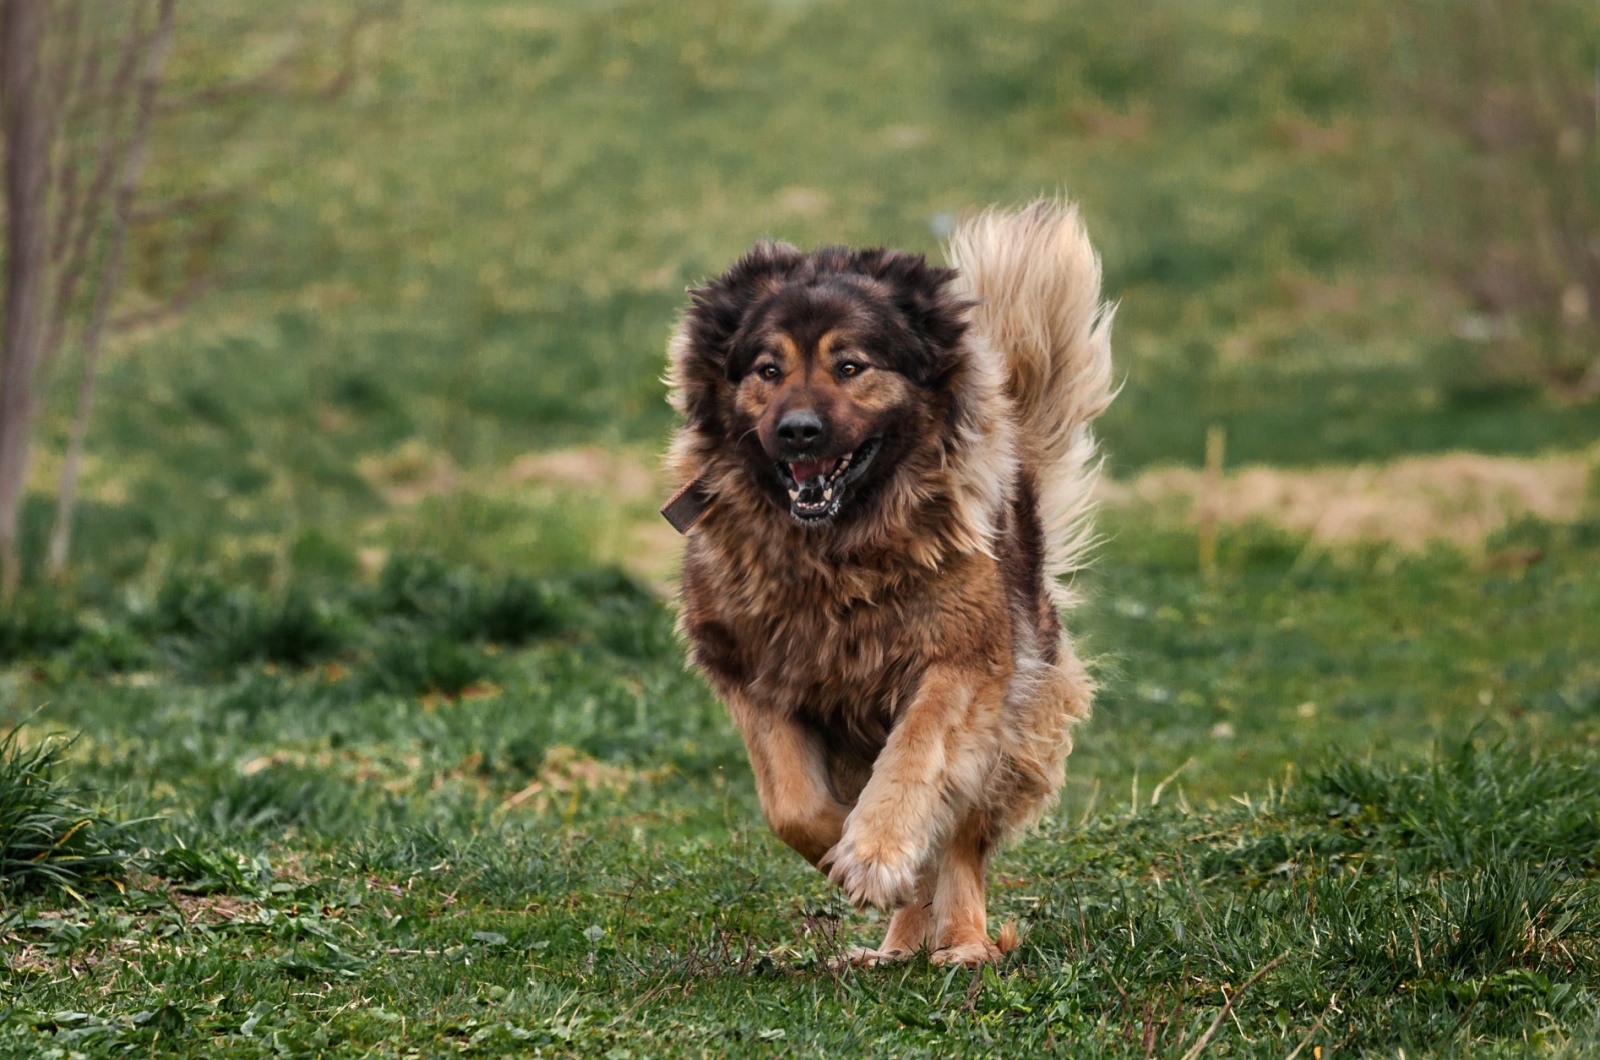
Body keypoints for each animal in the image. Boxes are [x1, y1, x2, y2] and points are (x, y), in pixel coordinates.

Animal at [662, 201, 1113, 973]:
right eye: (767, 369)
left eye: (851, 367)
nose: (798, 432)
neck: (838, 551)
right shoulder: (754, 673)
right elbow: (791, 805)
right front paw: (848, 852)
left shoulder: (961, 662)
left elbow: (915, 763)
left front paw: (875, 854)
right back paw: (897, 946)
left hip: (1011, 714)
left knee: (960, 838)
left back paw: (962, 941)